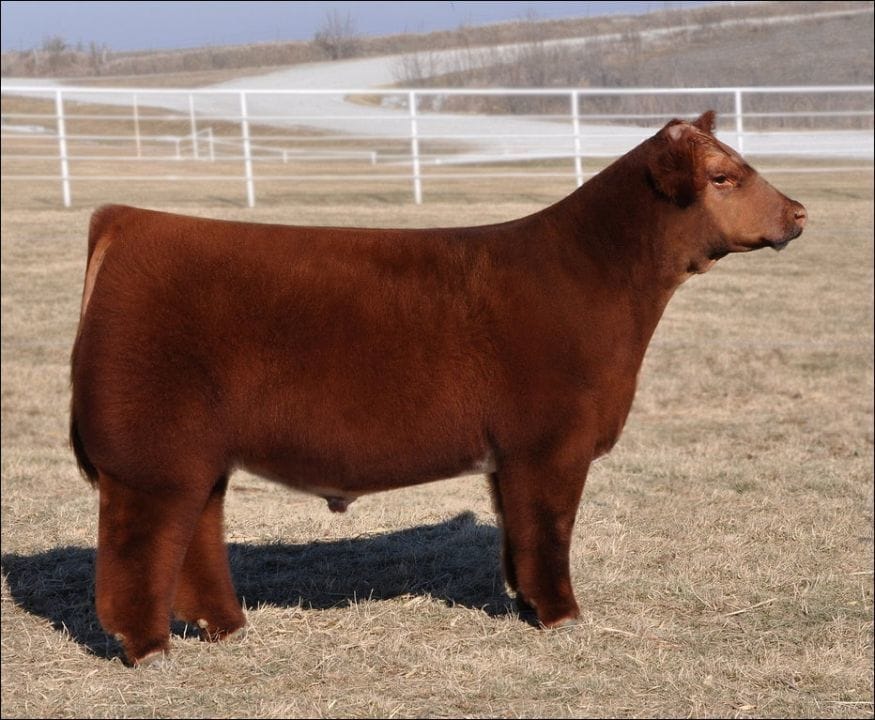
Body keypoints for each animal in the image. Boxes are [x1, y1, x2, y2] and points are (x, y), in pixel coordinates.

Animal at [69, 111, 806, 665]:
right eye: (723, 176)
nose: (799, 213)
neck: (591, 276)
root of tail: (128, 220)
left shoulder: (509, 457)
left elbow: (517, 535)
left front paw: (524, 605)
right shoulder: (549, 445)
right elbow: (548, 531)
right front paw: (563, 615)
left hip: (197, 457)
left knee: (196, 534)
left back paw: (227, 627)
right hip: (150, 457)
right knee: (138, 552)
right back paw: (149, 650)